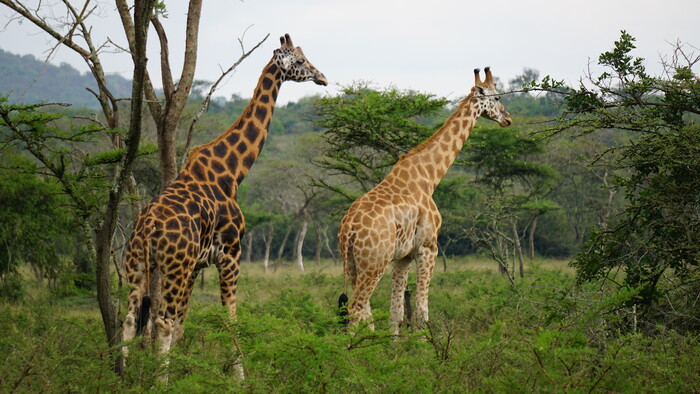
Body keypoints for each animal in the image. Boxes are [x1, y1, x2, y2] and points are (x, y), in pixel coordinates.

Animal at [121, 32, 328, 356]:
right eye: (301, 60)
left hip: (139, 264)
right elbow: (231, 320)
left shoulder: (198, 264)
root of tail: (149, 226)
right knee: (162, 322)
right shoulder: (231, 253)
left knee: (131, 321)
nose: (322, 77)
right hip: (174, 267)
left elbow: (182, 325)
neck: (231, 173)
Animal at [338, 66, 508, 334]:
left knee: (364, 312)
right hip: (374, 262)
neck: (429, 177)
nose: (507, 119)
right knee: (356, 311)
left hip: (353, 264)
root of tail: (348, 230)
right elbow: (421, 312)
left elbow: (396, 313)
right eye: (498, 97)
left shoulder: (404, 256)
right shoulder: (429, 247)